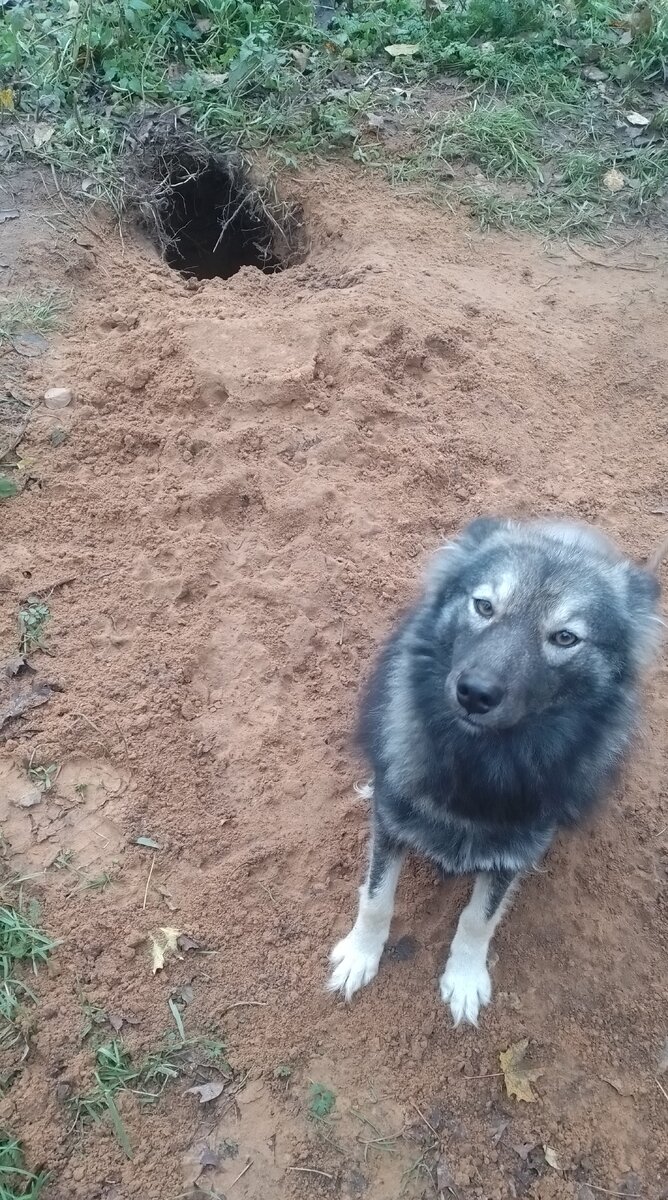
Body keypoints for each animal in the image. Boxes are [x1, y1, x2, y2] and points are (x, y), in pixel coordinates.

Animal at [326, 516, 657, 1022]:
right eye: (483, 606)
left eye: (565, 637)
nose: (475, 693)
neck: (481, 758)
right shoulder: (392, 819)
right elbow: (377, 897)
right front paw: (360, 956)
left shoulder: (514, 851)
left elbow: (478, 919)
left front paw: (464, 980)